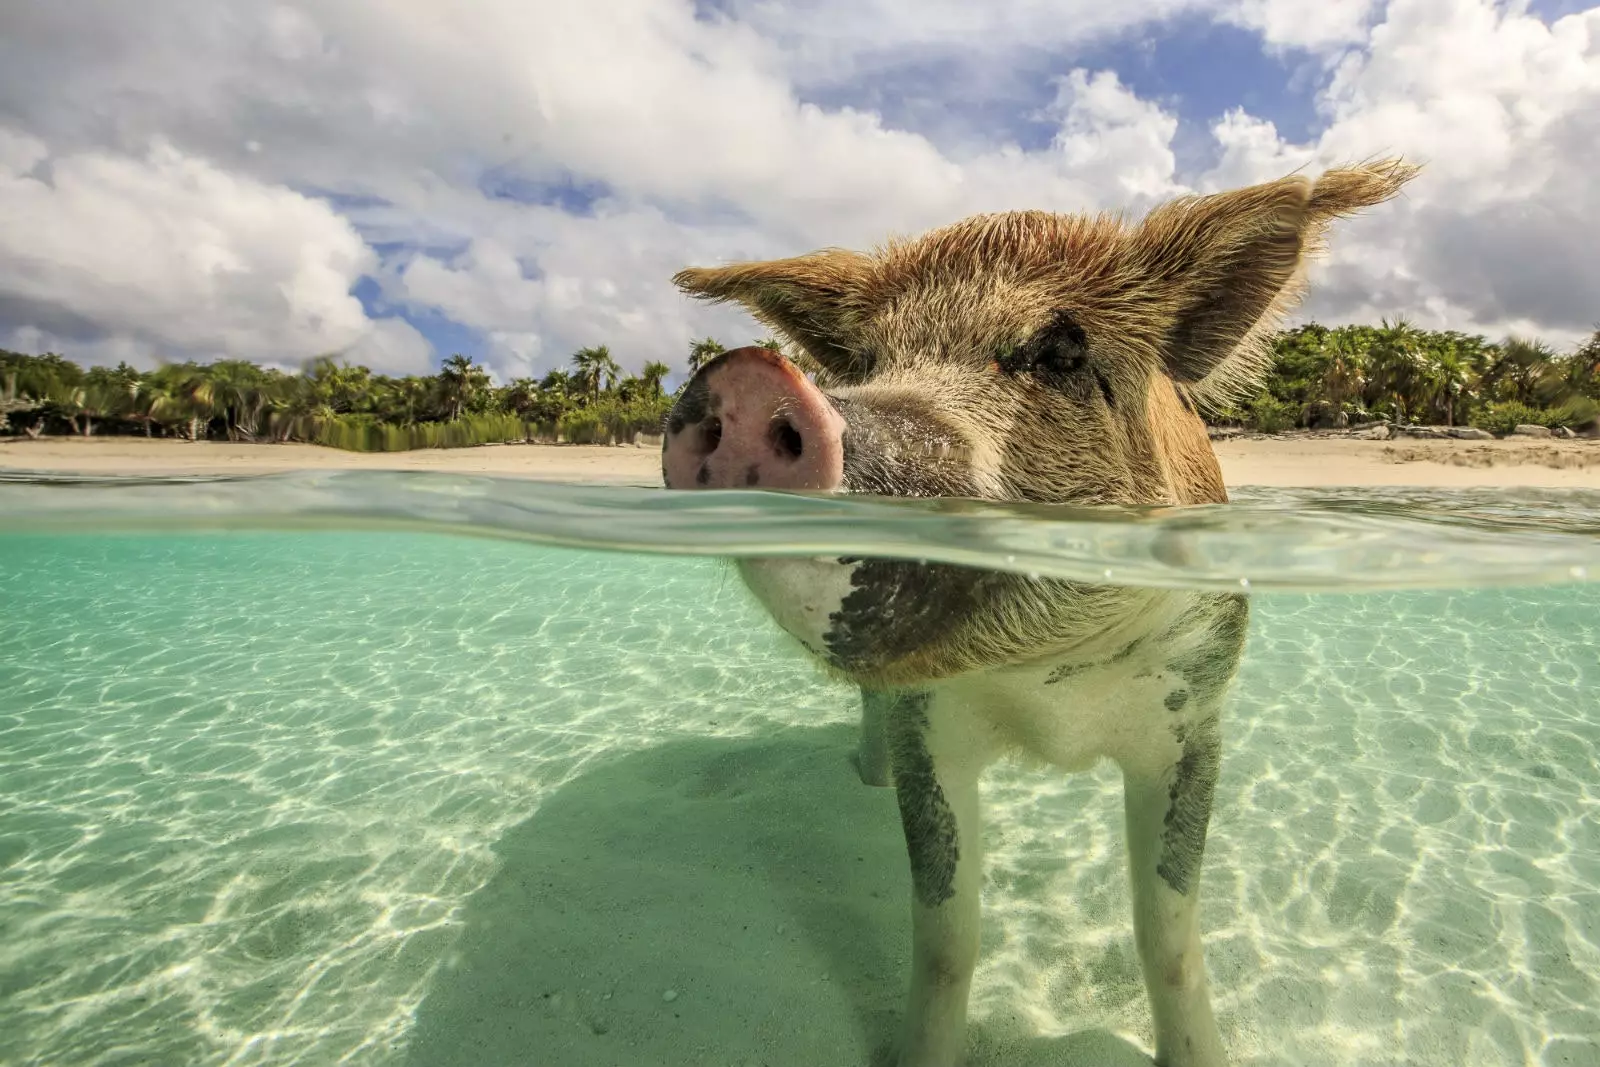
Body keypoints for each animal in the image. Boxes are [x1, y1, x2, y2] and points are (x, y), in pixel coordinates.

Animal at [656, 160, 1420, 1067]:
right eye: (868, 361)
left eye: (1060, 352)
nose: (744, 378)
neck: (1050, 691)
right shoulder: (930, 731)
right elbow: (948, 937)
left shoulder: (1196, 713)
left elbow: (1167, 932)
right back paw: (866, 775)